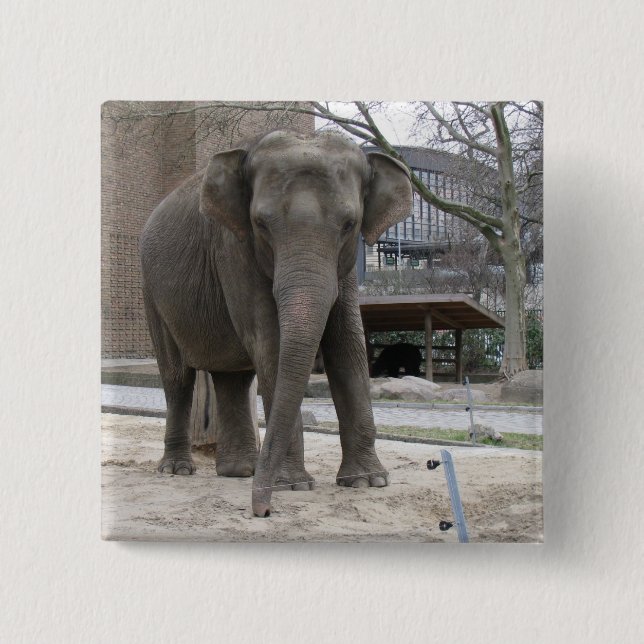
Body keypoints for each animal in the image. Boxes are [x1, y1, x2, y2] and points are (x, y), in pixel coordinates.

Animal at [140, 129, 413, 517]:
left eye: (349, 225)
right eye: (261, 225)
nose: (262, 510)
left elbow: (348, 344)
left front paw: (367, 482)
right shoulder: (233, 249)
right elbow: (271, 342)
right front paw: (294, 486)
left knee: (233, 378)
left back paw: (241, 472)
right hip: (152, 294)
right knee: (178, 378)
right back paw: (178, 471)